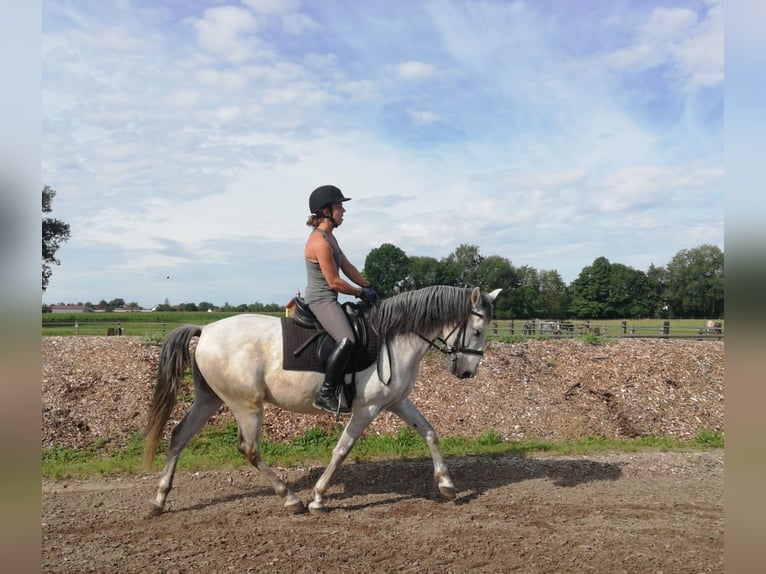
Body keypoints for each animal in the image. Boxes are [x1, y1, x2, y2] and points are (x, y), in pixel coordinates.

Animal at [144, 286, 504, 516]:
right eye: (476, 330)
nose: (468, 372)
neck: (394, 339)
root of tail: (205, 331)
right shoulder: (367, 408)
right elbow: (342, 449)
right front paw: (317, 498)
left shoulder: (396, 402)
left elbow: (429, 432)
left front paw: (446, 484)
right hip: (245, 405)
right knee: (249, 449)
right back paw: (291, 499)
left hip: (209, 399)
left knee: (179, 436)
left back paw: (159, 500)